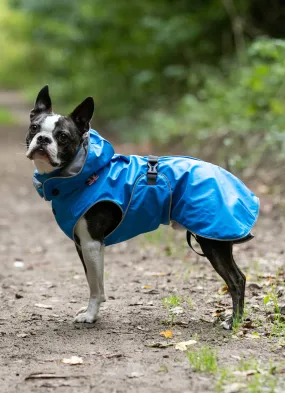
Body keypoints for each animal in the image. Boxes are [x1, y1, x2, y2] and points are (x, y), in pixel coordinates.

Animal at [25, 85, 258, 328]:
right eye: (34, 128)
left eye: (62, 136)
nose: (43, 139)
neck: (84, 173)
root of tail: (234, 182)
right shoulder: (87, 245)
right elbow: (95, 280)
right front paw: (93, 312)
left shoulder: (90, 242)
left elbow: (94, 286)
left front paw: (90, 316)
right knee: (239, 278)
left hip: (213, 241)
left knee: (236, 280)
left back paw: (234, 322)